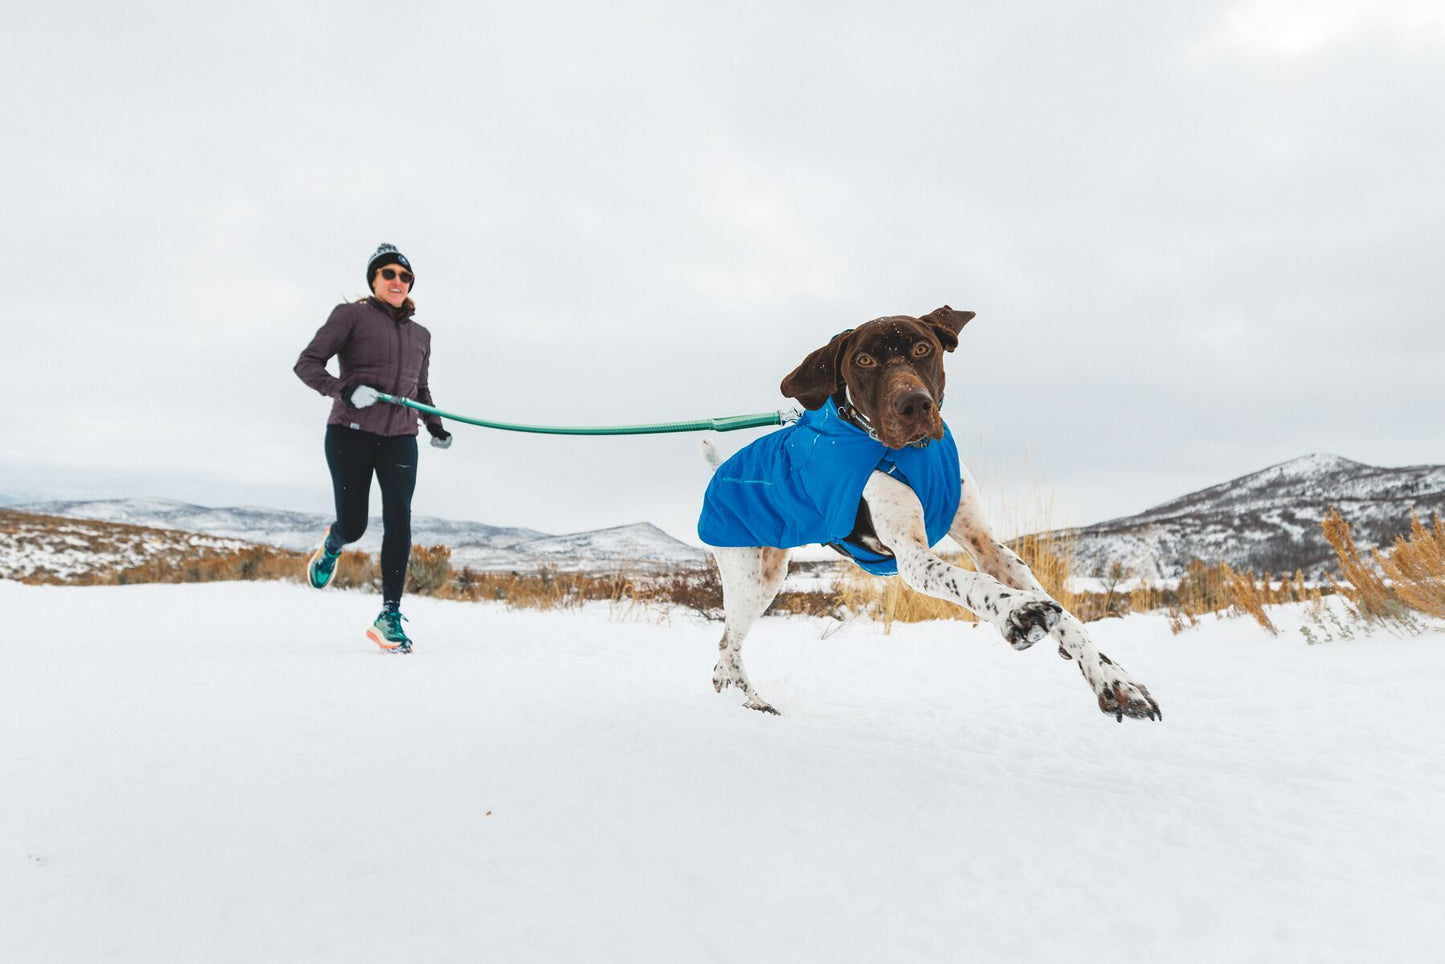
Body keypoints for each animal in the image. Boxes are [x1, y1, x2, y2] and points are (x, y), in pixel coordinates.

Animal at [699, 304, 1161, 719]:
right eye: (864, 360)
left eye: (923, 348)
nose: (914, 405)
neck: (914, 453)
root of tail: (719, 471)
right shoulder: (910, 555)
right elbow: (970, 582)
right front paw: (1017, 612)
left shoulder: (987, 545)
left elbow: (1063, 612)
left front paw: (1113, 681)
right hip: (750, 579)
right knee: (727, 643)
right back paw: (753, 701)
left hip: (769, 575)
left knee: (726, 643)